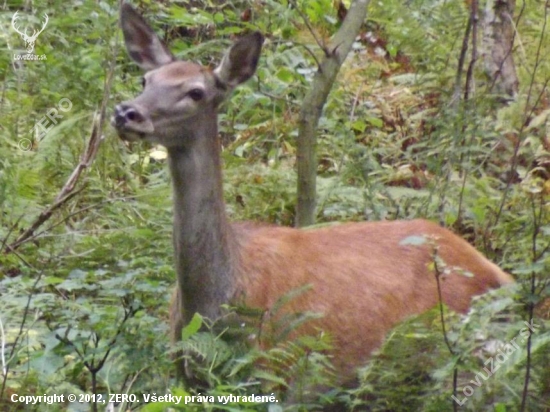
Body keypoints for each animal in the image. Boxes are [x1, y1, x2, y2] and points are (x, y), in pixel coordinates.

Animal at [114, 1, 516, 384]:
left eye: (196, 92)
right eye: (146, 79)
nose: (126, 112)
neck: (215, 301)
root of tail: (498, 274)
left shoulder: (281, 375)